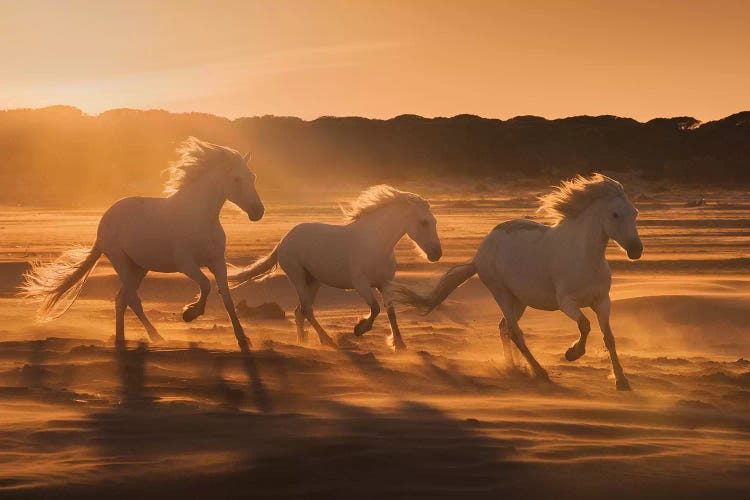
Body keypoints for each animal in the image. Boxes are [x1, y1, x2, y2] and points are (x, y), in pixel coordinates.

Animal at [20, 137, 266, 352]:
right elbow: (205, 285)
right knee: (130, 298)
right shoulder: (186, 264)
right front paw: (189, 313)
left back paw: (122, 339)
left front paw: (243, 338)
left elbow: (226, 297)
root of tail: (105, 220)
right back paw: (154, 336)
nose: (258, 212)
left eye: (253, 177)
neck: (200, 216)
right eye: (237, 179)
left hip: (139, 267)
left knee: (122, 299)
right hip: (122, 262)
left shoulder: (217, 261)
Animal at [229, 185, 440, 352]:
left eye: (434, 221)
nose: (436, 254)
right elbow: (375, 308)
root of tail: (284, 240)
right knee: (306, 310)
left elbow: (391, 312)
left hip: (313, 281)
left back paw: (302, 342)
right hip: (297, 277)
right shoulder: (361, 285)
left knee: (299, 312)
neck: (376, 244)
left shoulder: (385, 284)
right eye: (423, 222)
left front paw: (400, 344)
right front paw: (359, 329)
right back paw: (327, 341)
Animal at [396, 175, 644, 390]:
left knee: (504, 327)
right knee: (515, 332)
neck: (584, 257)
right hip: (501, 292)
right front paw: (572, 353)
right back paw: (539, 372)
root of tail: (480, 253)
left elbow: (609, 338)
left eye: (634, 213)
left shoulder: (602, 302)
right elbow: (585, 325)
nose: (636, 250)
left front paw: (622, 381)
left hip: (519, 300)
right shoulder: (567, 303)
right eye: (614, 214)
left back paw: (513, 367)